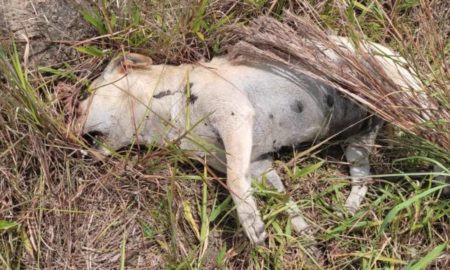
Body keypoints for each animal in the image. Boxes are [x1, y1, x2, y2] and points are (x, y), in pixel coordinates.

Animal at [75, 36, 424, 245]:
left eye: (82, 103)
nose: (71, 131)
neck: (168, 110)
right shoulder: (257, 163)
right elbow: (283, 200)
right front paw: (303, 233)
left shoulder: (234, 117)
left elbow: (234, 182)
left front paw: (251, 225)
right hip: (357, 145)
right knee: (363, 177)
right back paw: (348, 209)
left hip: (397, 85)